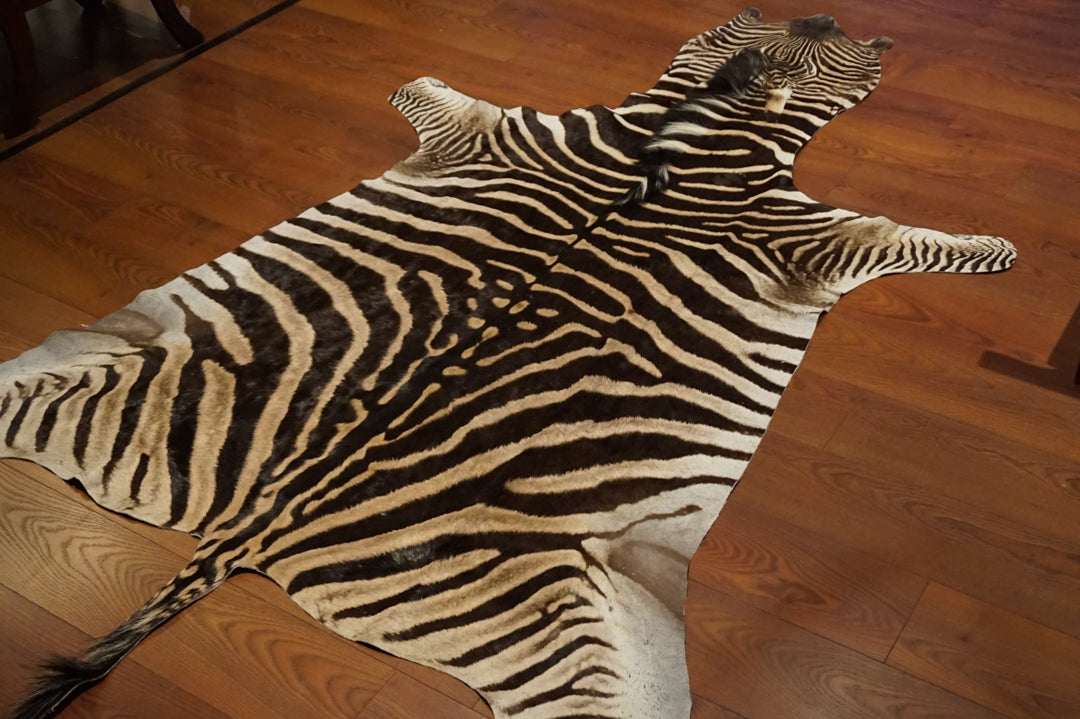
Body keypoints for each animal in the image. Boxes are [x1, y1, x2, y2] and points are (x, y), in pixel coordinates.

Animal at [1, 8, 1015, 719]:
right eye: (844, 48)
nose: (843, 16)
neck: (686, 134)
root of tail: (248, 534)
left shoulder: (501, 133)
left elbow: (422, 87)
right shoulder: (803, 236)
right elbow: (908, 237)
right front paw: (1002, 251)